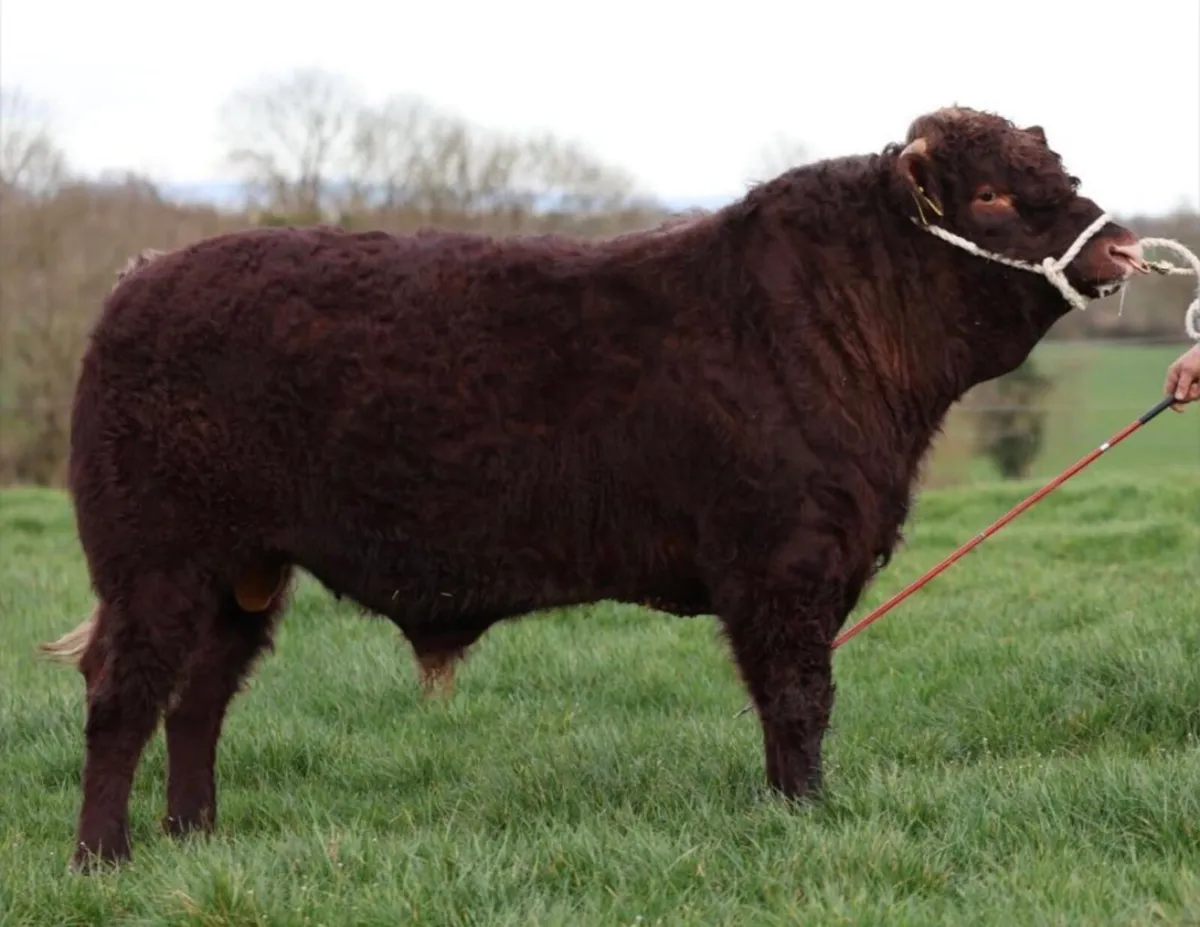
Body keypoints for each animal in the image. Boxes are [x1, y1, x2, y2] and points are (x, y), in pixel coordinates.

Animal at [40, 105, 1151, 870]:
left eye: (1060, 168)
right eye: (994, 196)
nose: (1123, 243)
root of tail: (144, 277)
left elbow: (793, 702)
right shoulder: (782, 566)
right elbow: (800, 700)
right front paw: (805, 813)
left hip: (242, 574)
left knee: (198, 701)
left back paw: (195, 837)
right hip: (155, 564)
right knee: (123, 696)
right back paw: (104, 856)